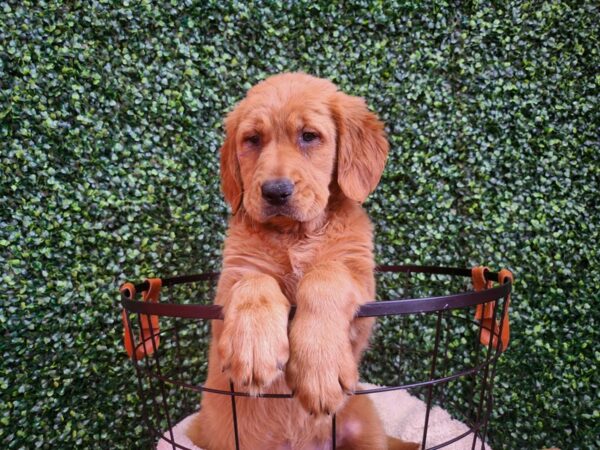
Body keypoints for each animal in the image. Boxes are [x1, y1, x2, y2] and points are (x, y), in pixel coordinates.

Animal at [188, 74, 418, 450]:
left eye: (309, 136)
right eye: (253, 140)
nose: (275, 191)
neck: (295, 235)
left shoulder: (360, 290)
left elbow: (325, 274)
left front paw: (319, 369)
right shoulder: (229, 285)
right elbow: (254, 281)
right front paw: (255, 347)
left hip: (365, 424)